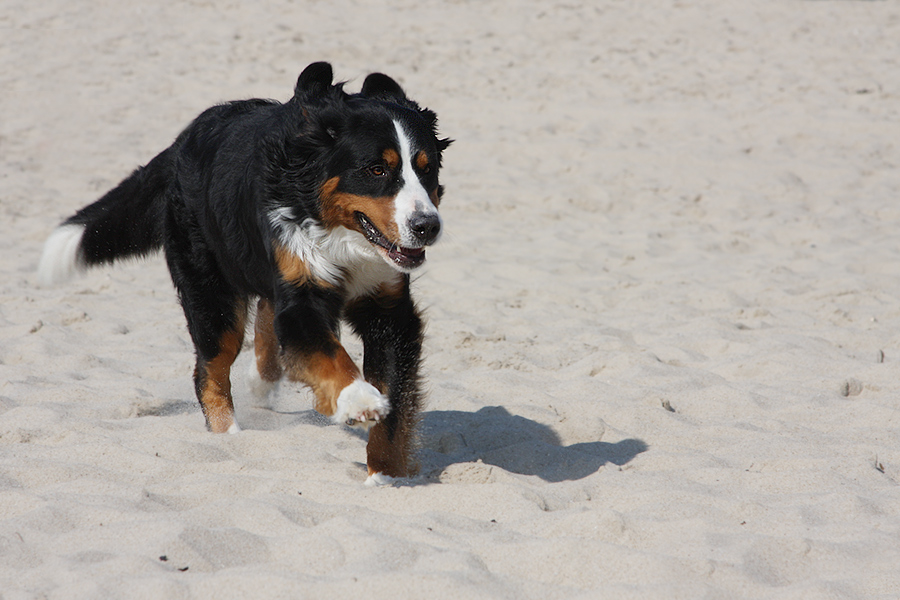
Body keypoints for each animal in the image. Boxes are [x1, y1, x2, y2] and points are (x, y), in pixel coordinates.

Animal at [37, 61, 450, 486]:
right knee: (211, 368)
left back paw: (265, 380)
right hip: (213, 298)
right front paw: (359, 398)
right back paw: (229, 436)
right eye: (377, 169)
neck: (344, 239)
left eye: (428, 169)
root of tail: (182, 141)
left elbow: (394, 402)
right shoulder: (302, 296)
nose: (427, 226)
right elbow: (330, 355)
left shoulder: (388, 309)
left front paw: (385, 475)